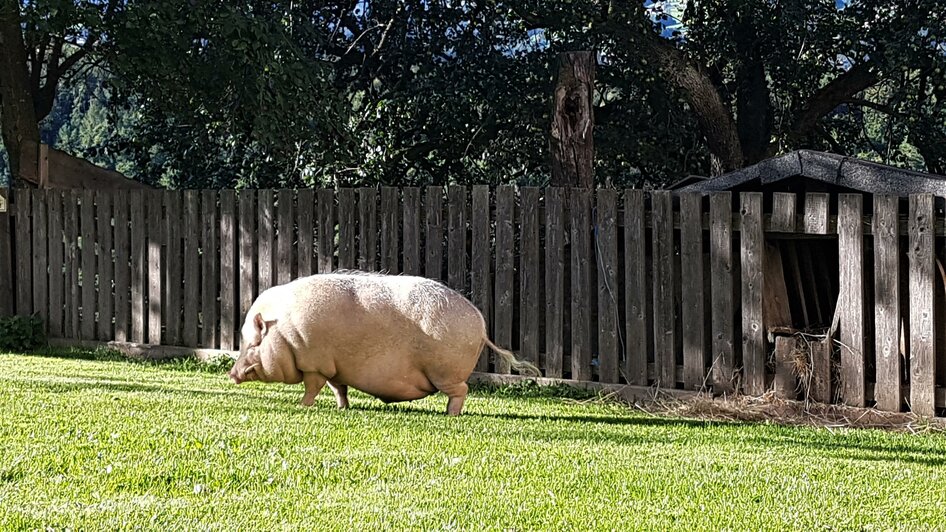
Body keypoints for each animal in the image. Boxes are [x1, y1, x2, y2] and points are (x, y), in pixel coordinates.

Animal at [227, 274, 540, 416]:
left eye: (252, 343)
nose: (231, 374)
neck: (284, 332)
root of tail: (481, 323)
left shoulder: (315, 363)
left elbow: (312, 387)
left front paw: (302, 406)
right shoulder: (335, 367)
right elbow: (338, 388)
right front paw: (342, 408)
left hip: (445, 371)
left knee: (461, 391)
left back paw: (450, 414)